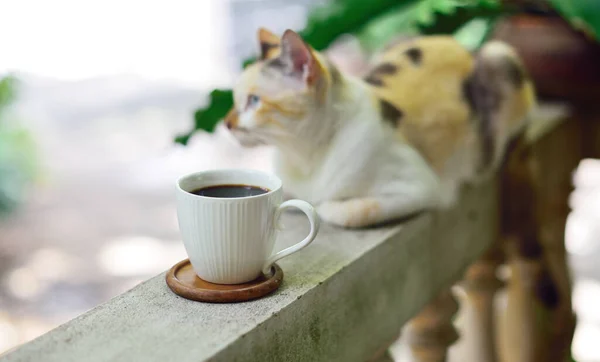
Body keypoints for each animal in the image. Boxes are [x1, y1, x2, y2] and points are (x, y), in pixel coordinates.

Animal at [225, 28, 536, 228]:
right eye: (234, 100)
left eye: (253, 101)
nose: (227, 123)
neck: (305, 157)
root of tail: (464, 46)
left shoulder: (419, 187)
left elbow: (341, 211)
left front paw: (322, 205)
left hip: (500, 58)